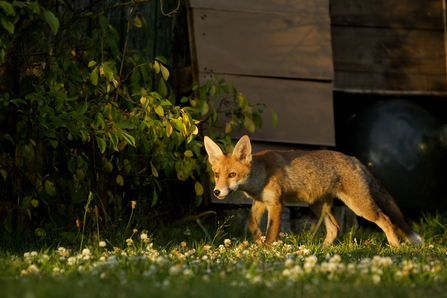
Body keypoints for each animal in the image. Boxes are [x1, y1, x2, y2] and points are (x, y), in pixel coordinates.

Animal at [205, 135, 426, 247]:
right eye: (216, 174)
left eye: (232, 175)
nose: (216, 192)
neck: (261, 175)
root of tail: (354, 159)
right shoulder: (261, 202)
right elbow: (252, 224)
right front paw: (258, 240)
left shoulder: (276, 204)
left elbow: (272, 232)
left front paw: (266, 251)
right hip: (317, 206)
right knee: (335, 228)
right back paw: (322, 251)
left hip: (360, 206)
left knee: (386, 221)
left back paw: (396, 248)